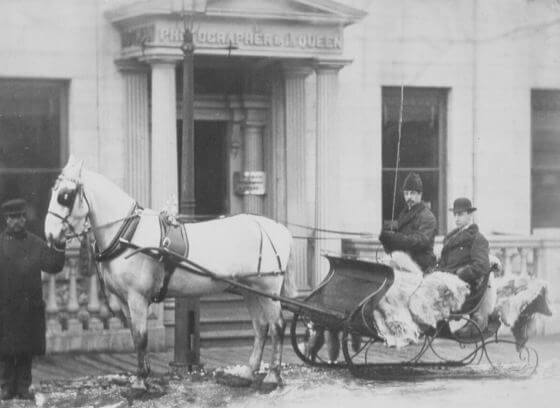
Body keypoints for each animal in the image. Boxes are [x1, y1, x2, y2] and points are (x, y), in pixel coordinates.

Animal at [44, 156, 294, 388]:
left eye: (65, 196)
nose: (49, 235)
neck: (127, 234)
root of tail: (278, 228)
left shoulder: (137, 297)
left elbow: (141, 338)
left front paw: (140, 381)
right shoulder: (125, 301)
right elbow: (135, 335)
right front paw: (144, 375)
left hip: (268, 290)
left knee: (277, 326)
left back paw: (273, 376)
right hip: (250, 290)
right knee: (261, 327)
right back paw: (248, 372)